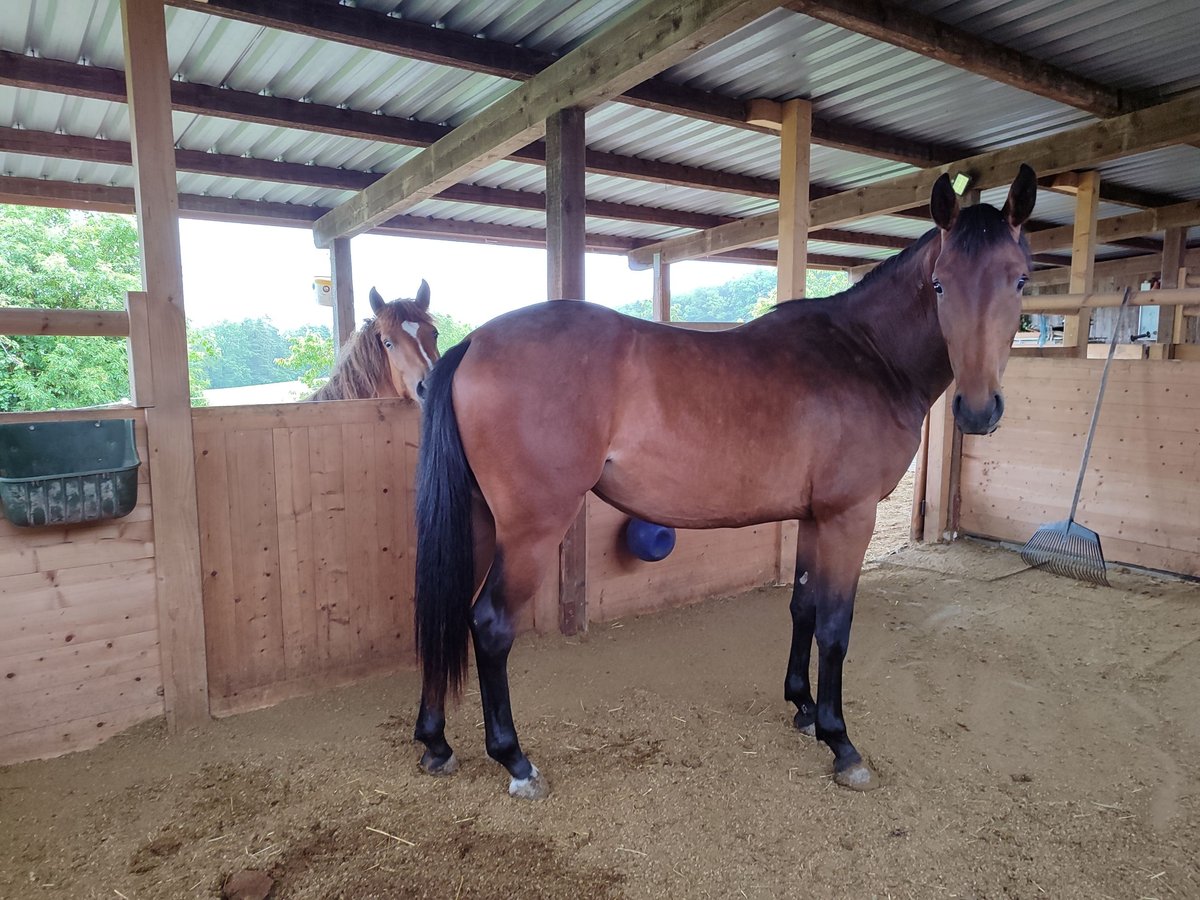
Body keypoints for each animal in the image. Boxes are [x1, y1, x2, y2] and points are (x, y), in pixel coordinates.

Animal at [415, 165, 1041, 801]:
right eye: (939, 285)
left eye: (1021, 279)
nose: (978, 410)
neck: (865, 354)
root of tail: (472, 343)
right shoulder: (850, 516)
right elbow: (835, 627)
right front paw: (840, 742)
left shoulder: (814, 517)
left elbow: (803, 607)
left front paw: (803, 708)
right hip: (531, 530)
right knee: (490, 625)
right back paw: (514, 760)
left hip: (480, 519)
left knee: (444, 613)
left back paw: (436, 743)